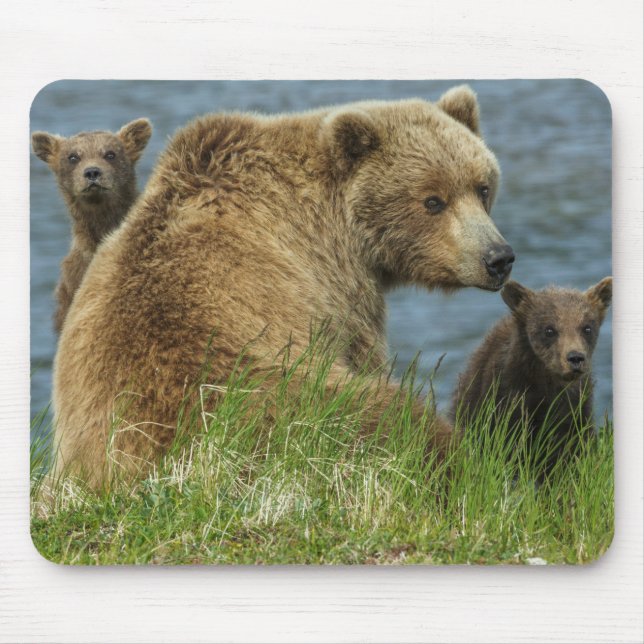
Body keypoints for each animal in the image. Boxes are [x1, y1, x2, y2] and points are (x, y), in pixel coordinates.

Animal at [52, 86, 515, 488]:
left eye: (481, 187)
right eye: (432, 201)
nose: (497, 258)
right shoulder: (336, 286)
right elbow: (365, 352)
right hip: (277, 404)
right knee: (390, 421)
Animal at [450, 277, 612, 475]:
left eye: (587, 328)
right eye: (549, 330)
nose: (575, 357)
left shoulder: (575, 406)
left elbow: (572, 450)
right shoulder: (509, 398)